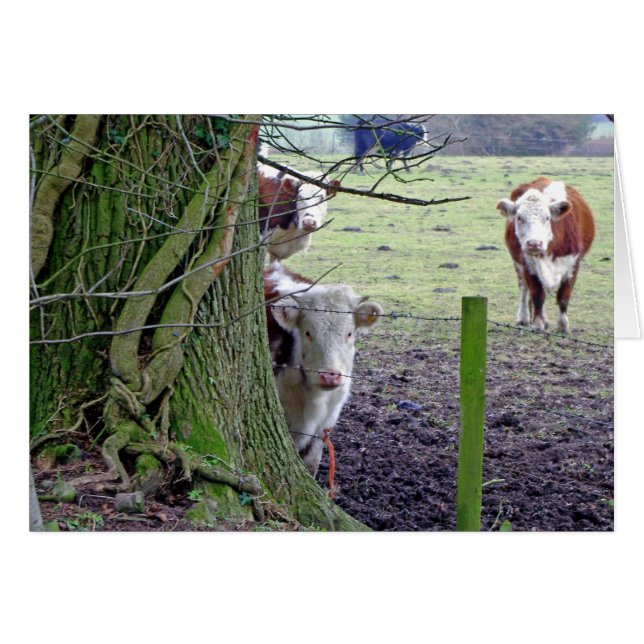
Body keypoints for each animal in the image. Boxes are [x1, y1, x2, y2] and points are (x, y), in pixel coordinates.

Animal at [497, 177, 595, 333]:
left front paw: (562, 326)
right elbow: (537, 295)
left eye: (547, 217)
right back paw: (524, 317)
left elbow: (563, 297)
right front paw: (538, 324)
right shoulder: (528, 264)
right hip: (518, 262)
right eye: (519, 217)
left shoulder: (573, 265)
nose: (534, 243)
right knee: (524, 287)